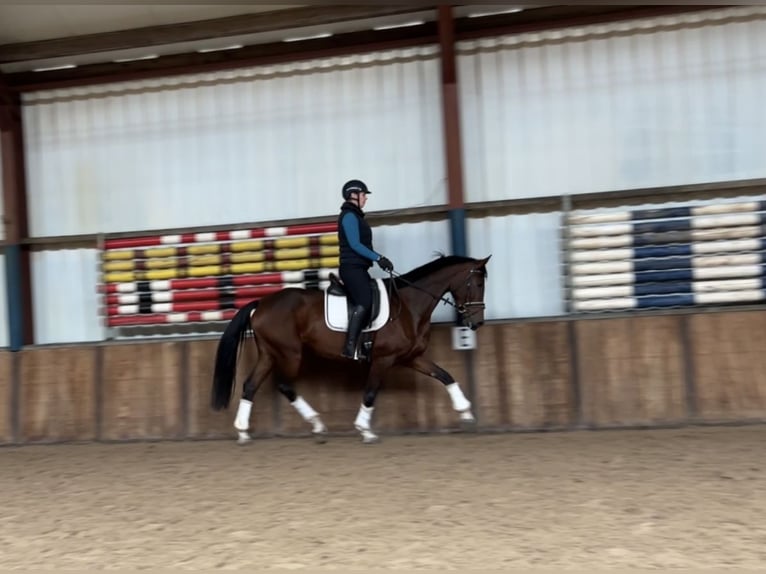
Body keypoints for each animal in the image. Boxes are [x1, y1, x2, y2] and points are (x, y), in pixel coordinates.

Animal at [208, 253, 492, 446]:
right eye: (478, 284)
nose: (476, 323)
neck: (409, 306)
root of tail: (261, 304)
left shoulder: (412, 357)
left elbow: (445, 376)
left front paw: (466, 412)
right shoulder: (383, 359)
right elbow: (370, 393)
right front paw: (365, 430)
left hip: (269, 354)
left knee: (250, 386)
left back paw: (243, 431)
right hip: (290, 354)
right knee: (285, 386)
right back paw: (317, 426)